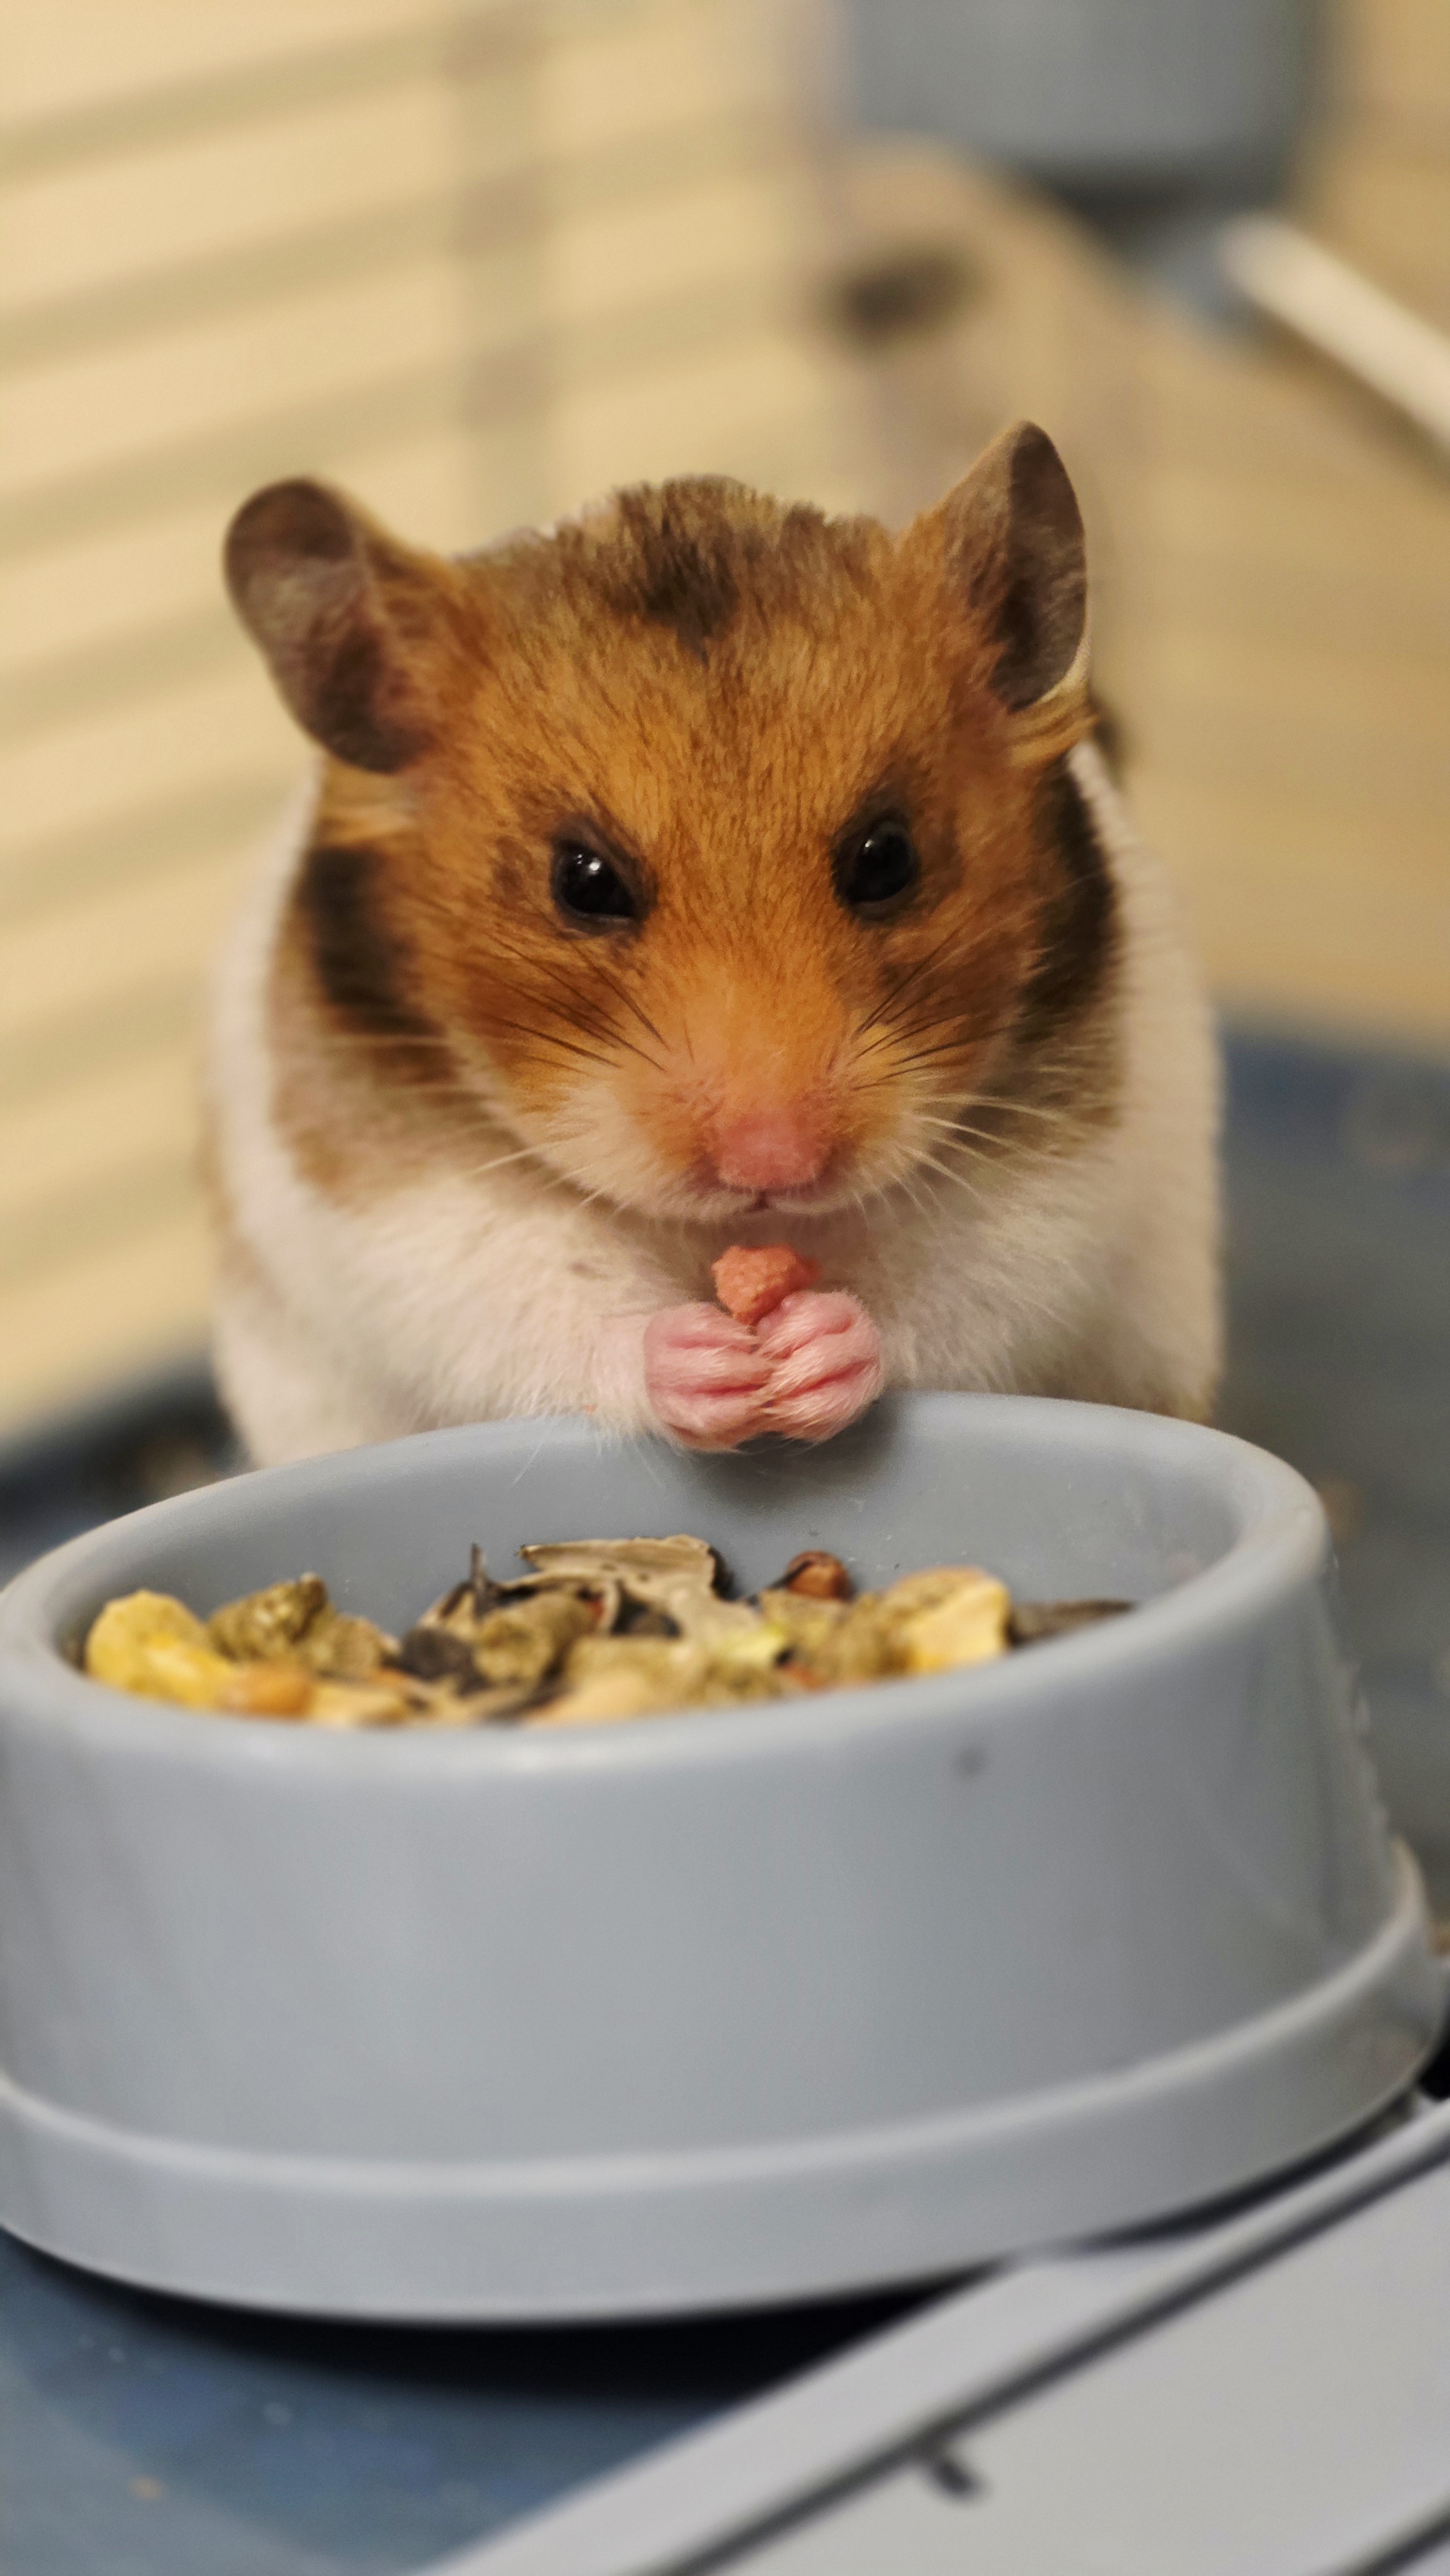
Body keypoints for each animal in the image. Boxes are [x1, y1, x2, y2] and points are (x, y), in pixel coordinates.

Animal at [206, 422, 1220, 1467]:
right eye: (582, 881)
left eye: (887, 858)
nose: (771, 1168)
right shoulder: (392, 1202)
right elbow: (544, 1297)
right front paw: (709, 1369)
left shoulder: (1059, 1173)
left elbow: (939, 1288)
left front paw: (810, 1356)